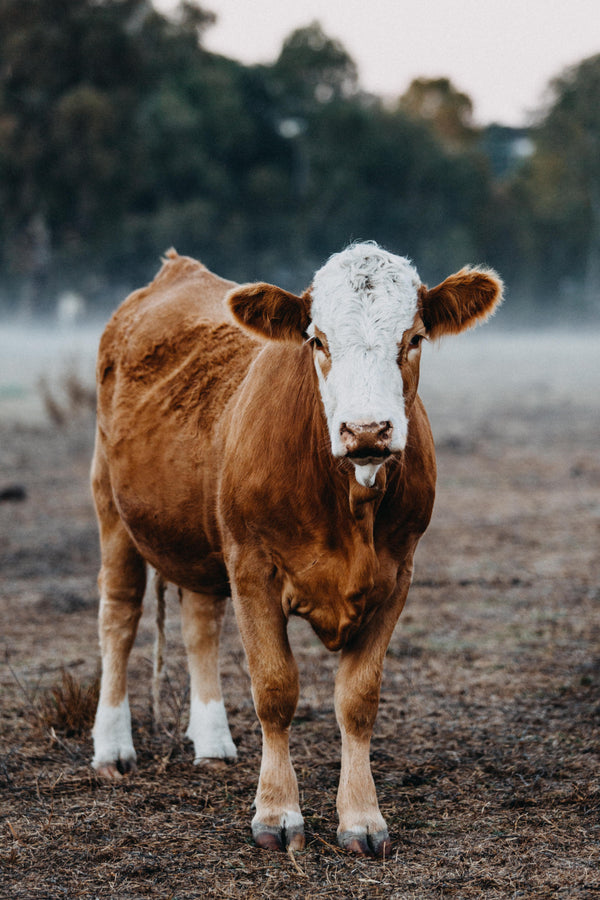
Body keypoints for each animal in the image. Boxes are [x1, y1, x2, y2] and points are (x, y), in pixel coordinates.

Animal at [91, 242, 502, 857]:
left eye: (414, 338)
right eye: (318, 340)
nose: (366, 430)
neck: (350, 507)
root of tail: (174, 270)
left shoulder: (398, 573)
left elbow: (358, 699)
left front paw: (362, 818)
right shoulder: (252, 565)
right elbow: (275, 688)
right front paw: (276, 812)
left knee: (199, 622)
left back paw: (212, 742)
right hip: (112, 509)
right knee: (119, 615)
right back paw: (112, 747)